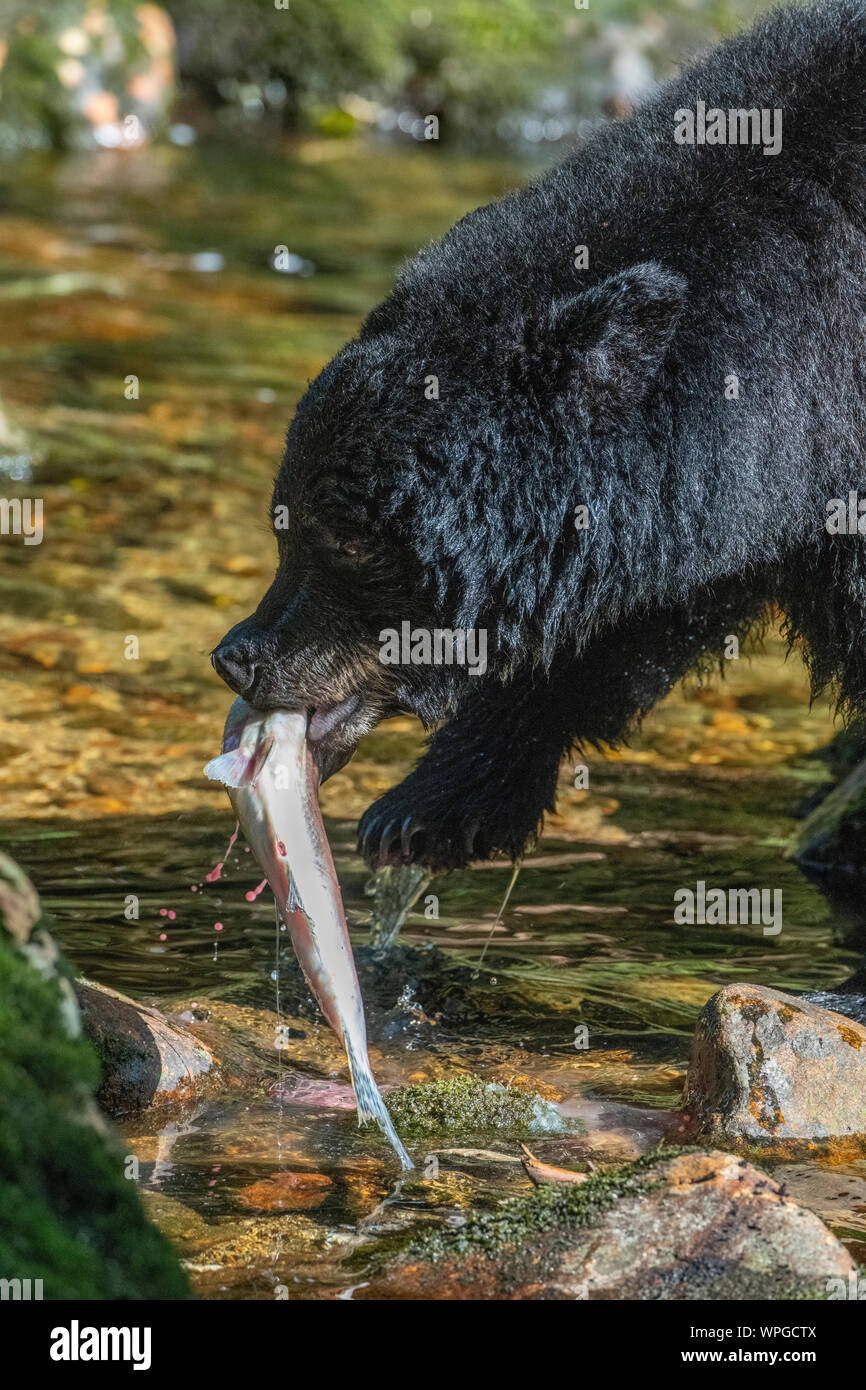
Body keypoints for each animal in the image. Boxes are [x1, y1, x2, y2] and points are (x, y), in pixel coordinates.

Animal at [214, 0, 866, 867]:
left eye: (350, 541)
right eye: (281, 524)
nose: (237, 658)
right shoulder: (727, 485)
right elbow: (632, 616)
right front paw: (433, 806)